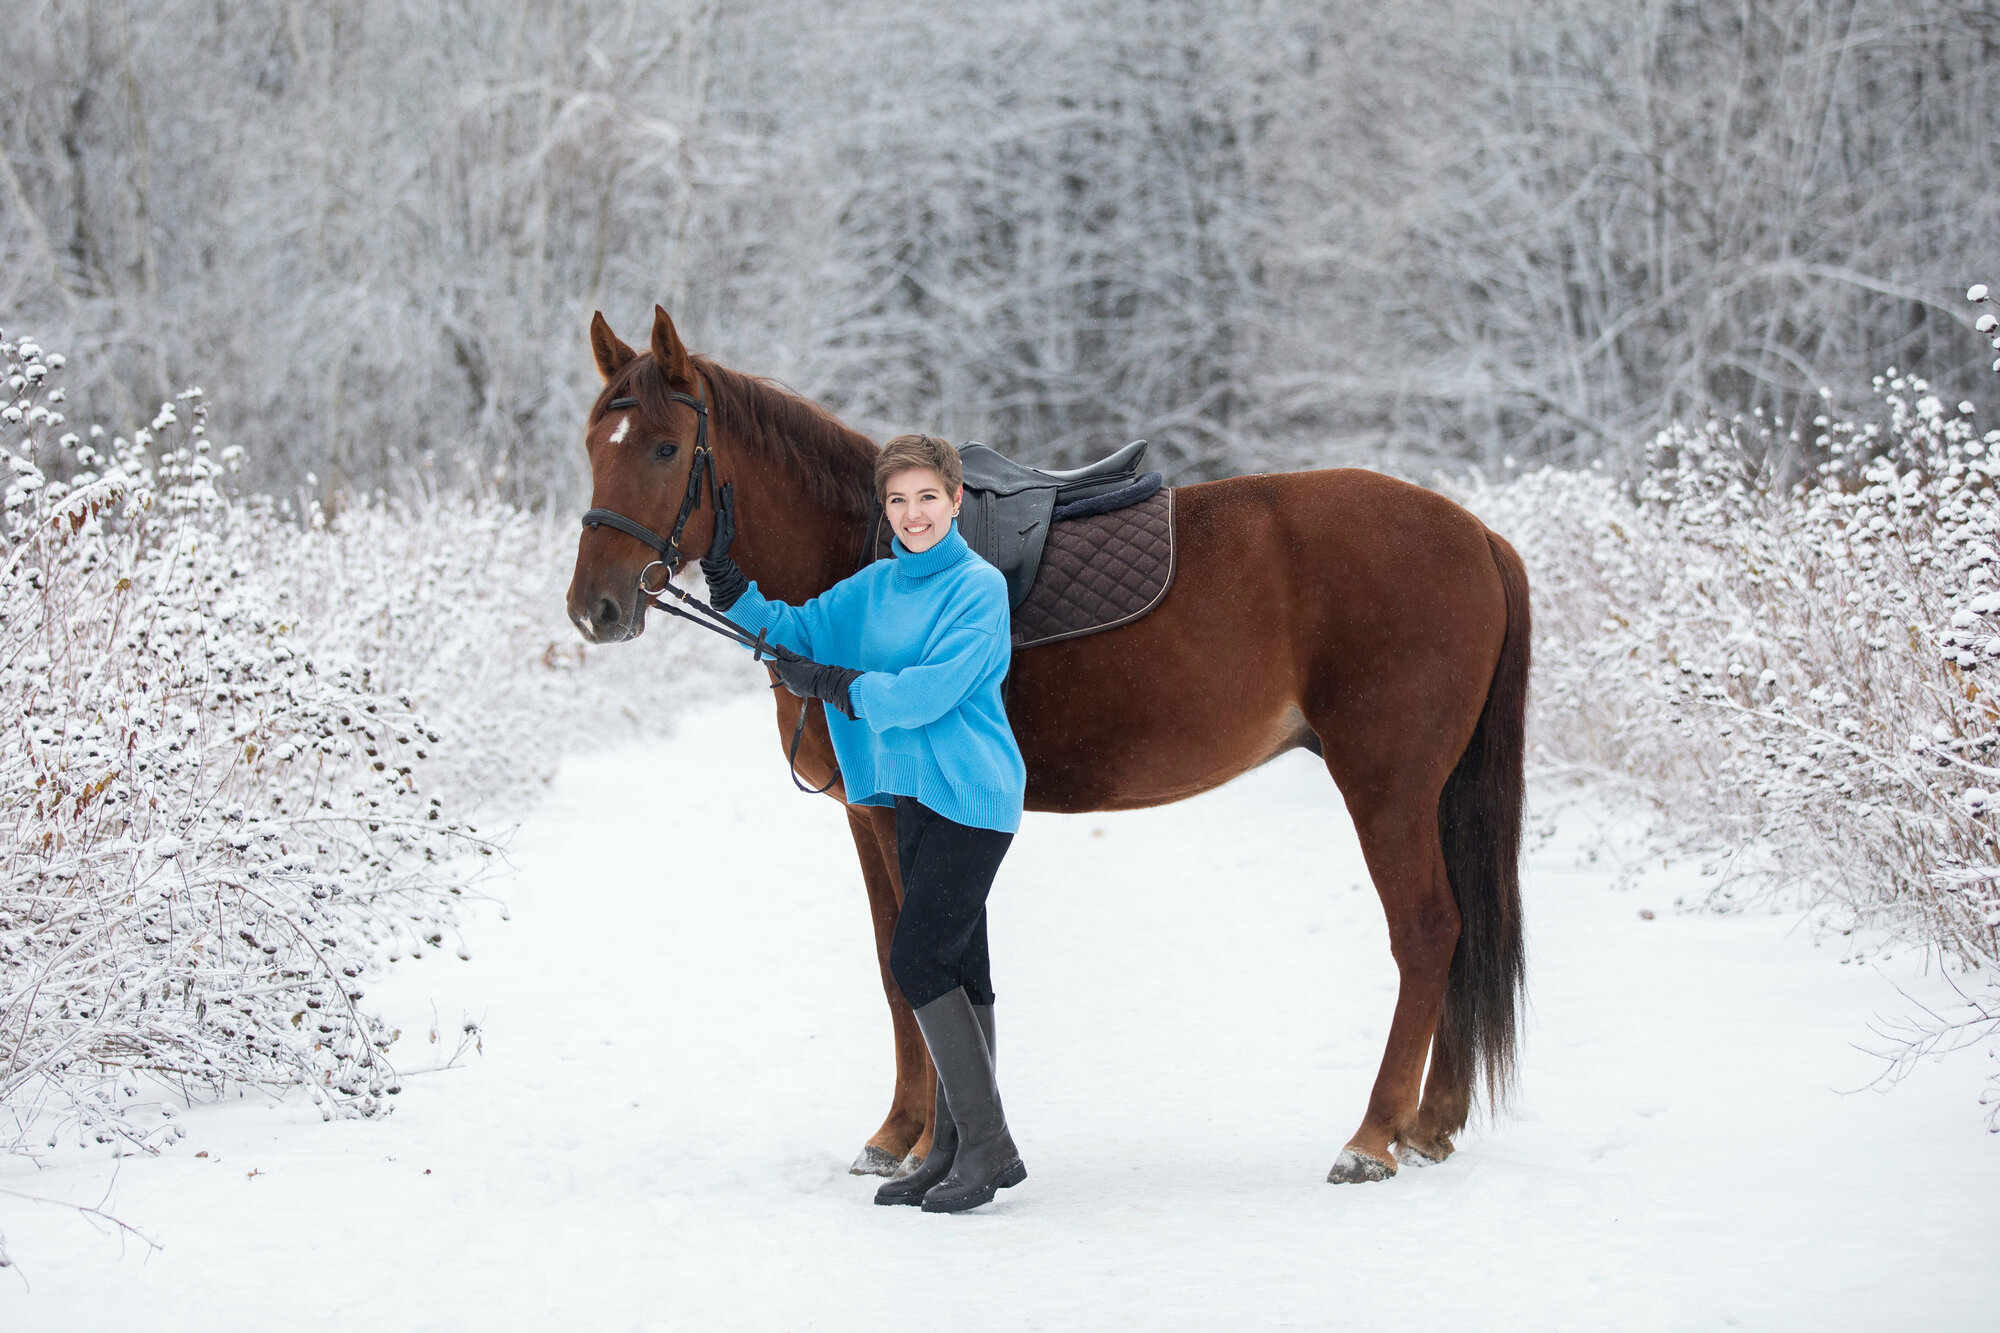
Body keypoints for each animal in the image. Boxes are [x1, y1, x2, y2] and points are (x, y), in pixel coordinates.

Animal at [568, 306, 1528, 1176]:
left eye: (663, 449)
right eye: (592, 446)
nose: (594, 608)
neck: (862, 561)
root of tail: (1475, 533)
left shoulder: (902, 815)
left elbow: (913, 965)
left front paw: (926, 1139)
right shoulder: (873, 816)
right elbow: (901, 967)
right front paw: (902, 1133)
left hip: (1387, 785)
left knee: (1427, 932)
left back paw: (1373, 1136)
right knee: (1458, 933)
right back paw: (1431, 1123)